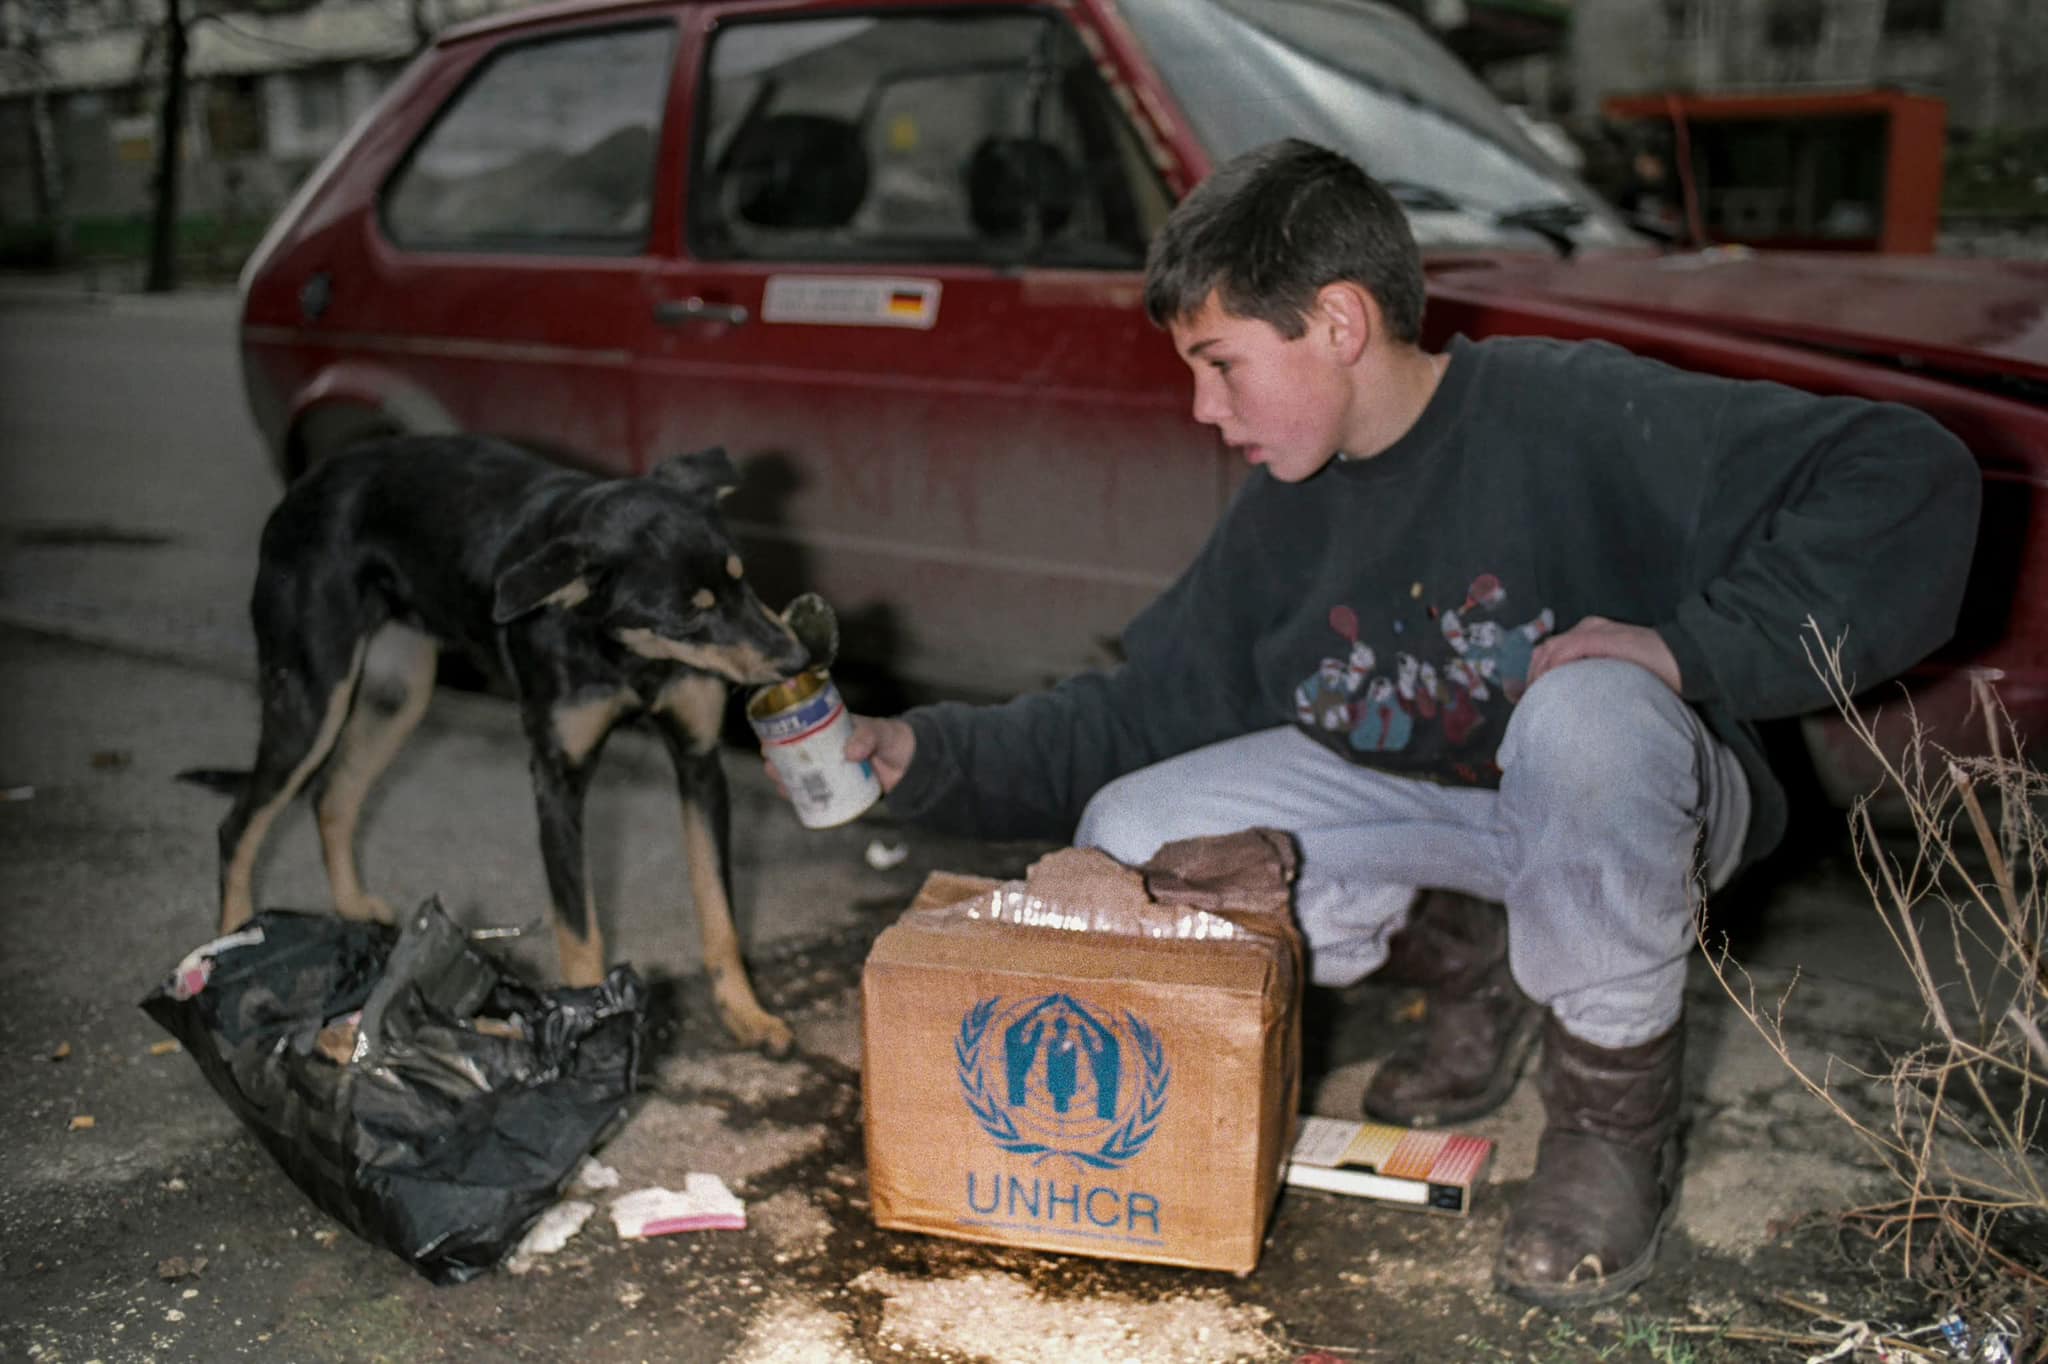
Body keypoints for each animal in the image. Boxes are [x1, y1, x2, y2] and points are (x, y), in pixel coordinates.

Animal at [209, 436, 815, 1048]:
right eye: (691, 612)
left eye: (742, 578)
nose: (800, 660)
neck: (623, 653)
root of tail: (308, 481)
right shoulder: (557, 781)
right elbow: (580, 931)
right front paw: (591, 1032)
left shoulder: (698, 763)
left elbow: (719, 911)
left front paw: (745, 1013)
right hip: (311, 702)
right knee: (239, 826)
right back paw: (232, 945)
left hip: (396, 697)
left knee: (332, 796)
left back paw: (352, 907)